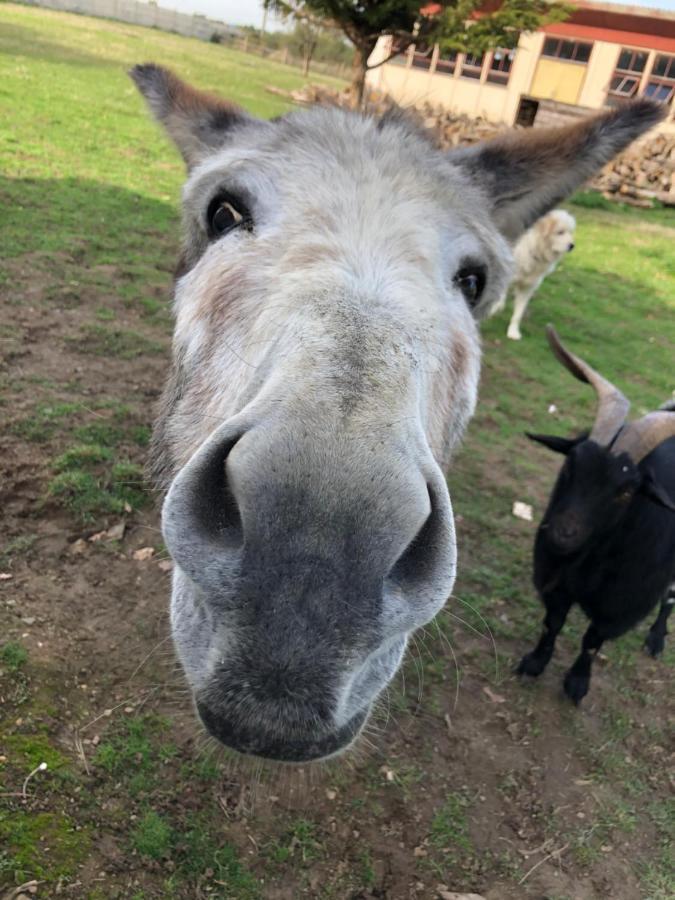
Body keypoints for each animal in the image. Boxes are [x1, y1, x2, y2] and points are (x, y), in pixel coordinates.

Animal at [496, 207, 576, 342]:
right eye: (560, 232)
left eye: (570, 232)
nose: (572, 246)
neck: (535, 250)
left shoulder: (527, 288)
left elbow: (518, 314)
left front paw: (513, 332)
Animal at [516, 326, 675, 708]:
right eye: (569, 464)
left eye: (627, 491)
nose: (562, 533)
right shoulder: (554, 579)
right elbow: (552, 623)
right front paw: (535, 662)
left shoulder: (618, 604)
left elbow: (591, 641)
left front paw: (577, 683)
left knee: (670, 597)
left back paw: (656, 638)